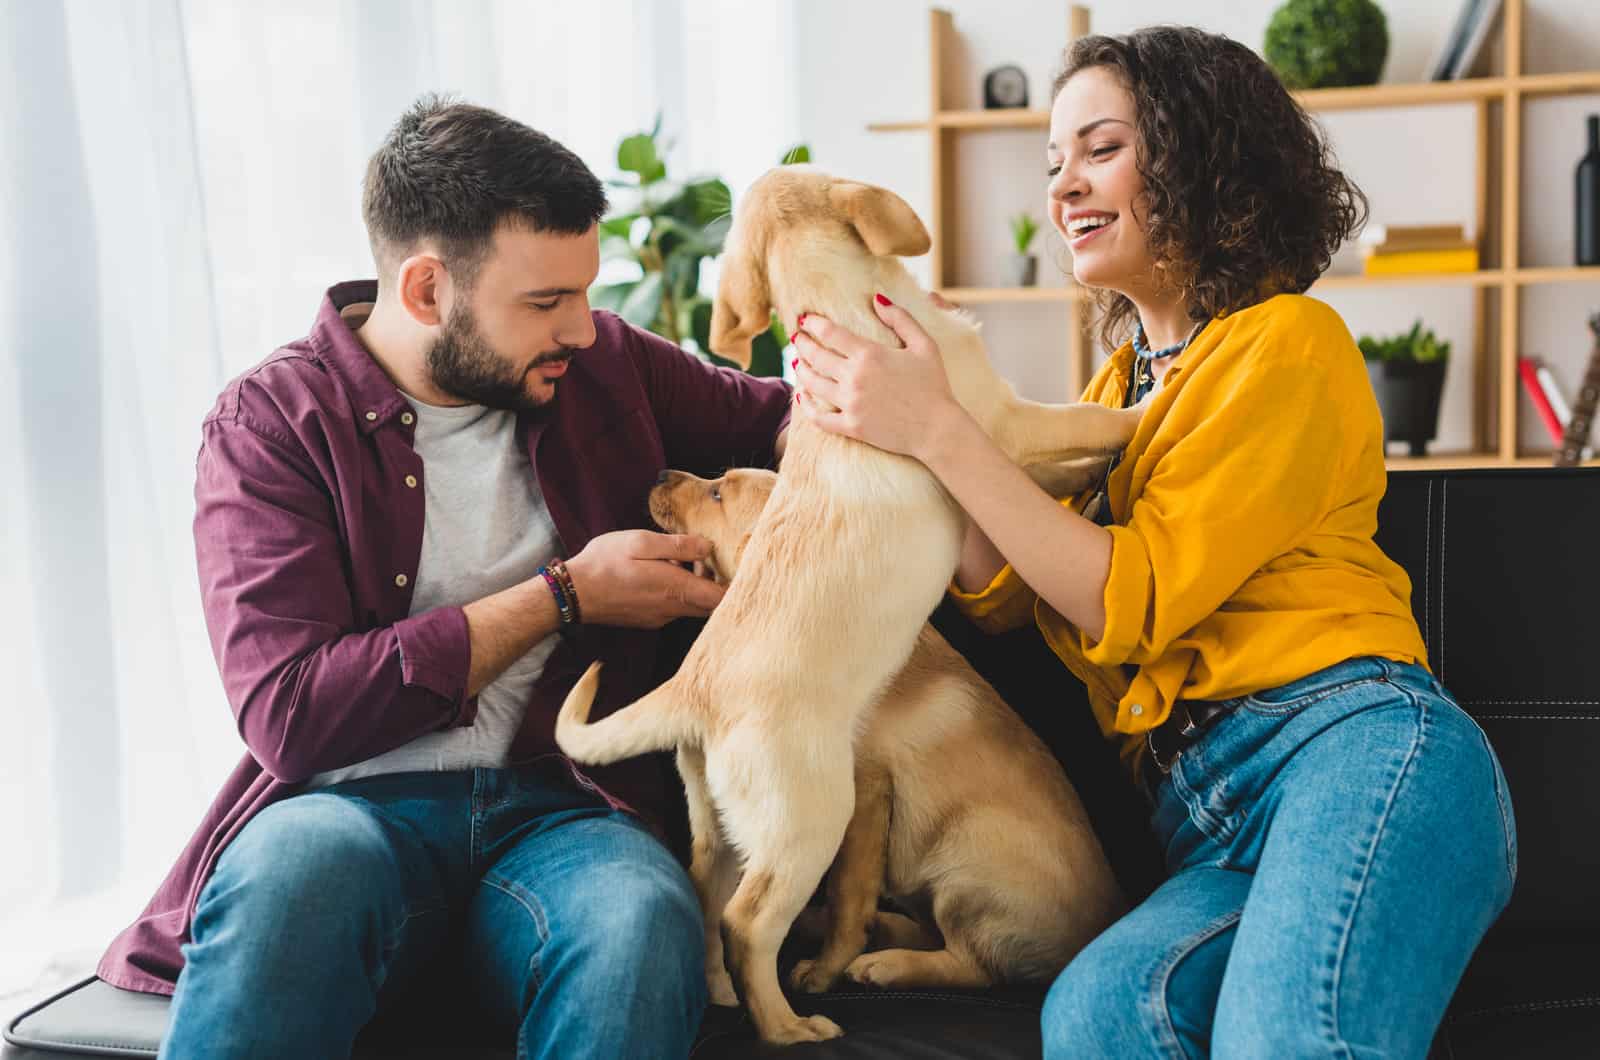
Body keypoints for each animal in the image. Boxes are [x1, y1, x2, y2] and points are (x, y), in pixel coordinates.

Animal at [649, 470, 1126, 999]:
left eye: (716, 493)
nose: (661, 475)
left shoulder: (865, 795)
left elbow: (847, 896)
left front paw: (824, 971)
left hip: (966, 858)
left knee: (975, 964)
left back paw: (884, 963)